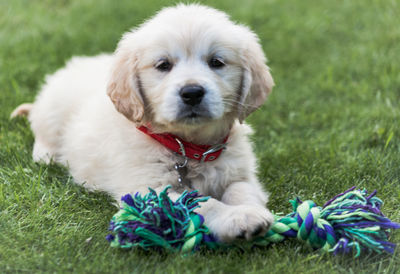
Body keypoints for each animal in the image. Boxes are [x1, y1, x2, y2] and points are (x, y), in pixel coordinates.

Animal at [11, 3, 276, 241]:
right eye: (163, 65)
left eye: (217, 62)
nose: (192, 93)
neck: (189, 147)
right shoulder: (149, 189)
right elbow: (202, 202)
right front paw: (237, 218)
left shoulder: (240, 172)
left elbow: (242, 190)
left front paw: (253, 213)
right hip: (53, 109)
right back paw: (46, 154)